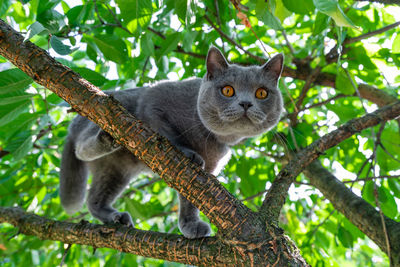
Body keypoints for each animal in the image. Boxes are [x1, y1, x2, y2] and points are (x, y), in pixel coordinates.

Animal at [60, 47, 284, 240]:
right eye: (227, 90)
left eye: (262, 93)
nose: (246, 103)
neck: (210, 137)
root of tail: (72, 124)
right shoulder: (155, 101)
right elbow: (167, 134)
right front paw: (189, 153)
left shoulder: (209, 169)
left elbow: (192, 197)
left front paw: (190, 225)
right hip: (107, 109)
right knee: (81, 149)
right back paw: (106, 139)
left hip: (117, 170)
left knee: (94, 200)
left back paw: (115, 216)